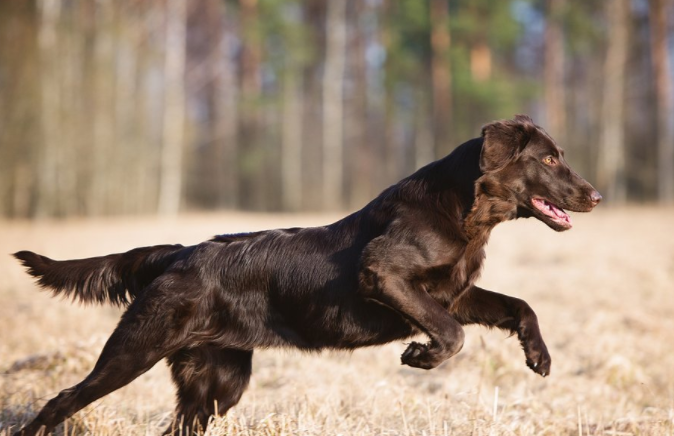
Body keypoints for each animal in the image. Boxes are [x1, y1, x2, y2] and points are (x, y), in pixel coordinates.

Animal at [11, 116, 600, 436]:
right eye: (550, 160)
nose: (596, 195)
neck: (464, 211)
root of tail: (179, 253)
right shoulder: (383, 273)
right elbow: (451, 335)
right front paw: (420, 355)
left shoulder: (455, 293)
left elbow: (518, 305)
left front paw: (538, 355)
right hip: (137, 348)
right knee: (63, 399)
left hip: (218, 381)